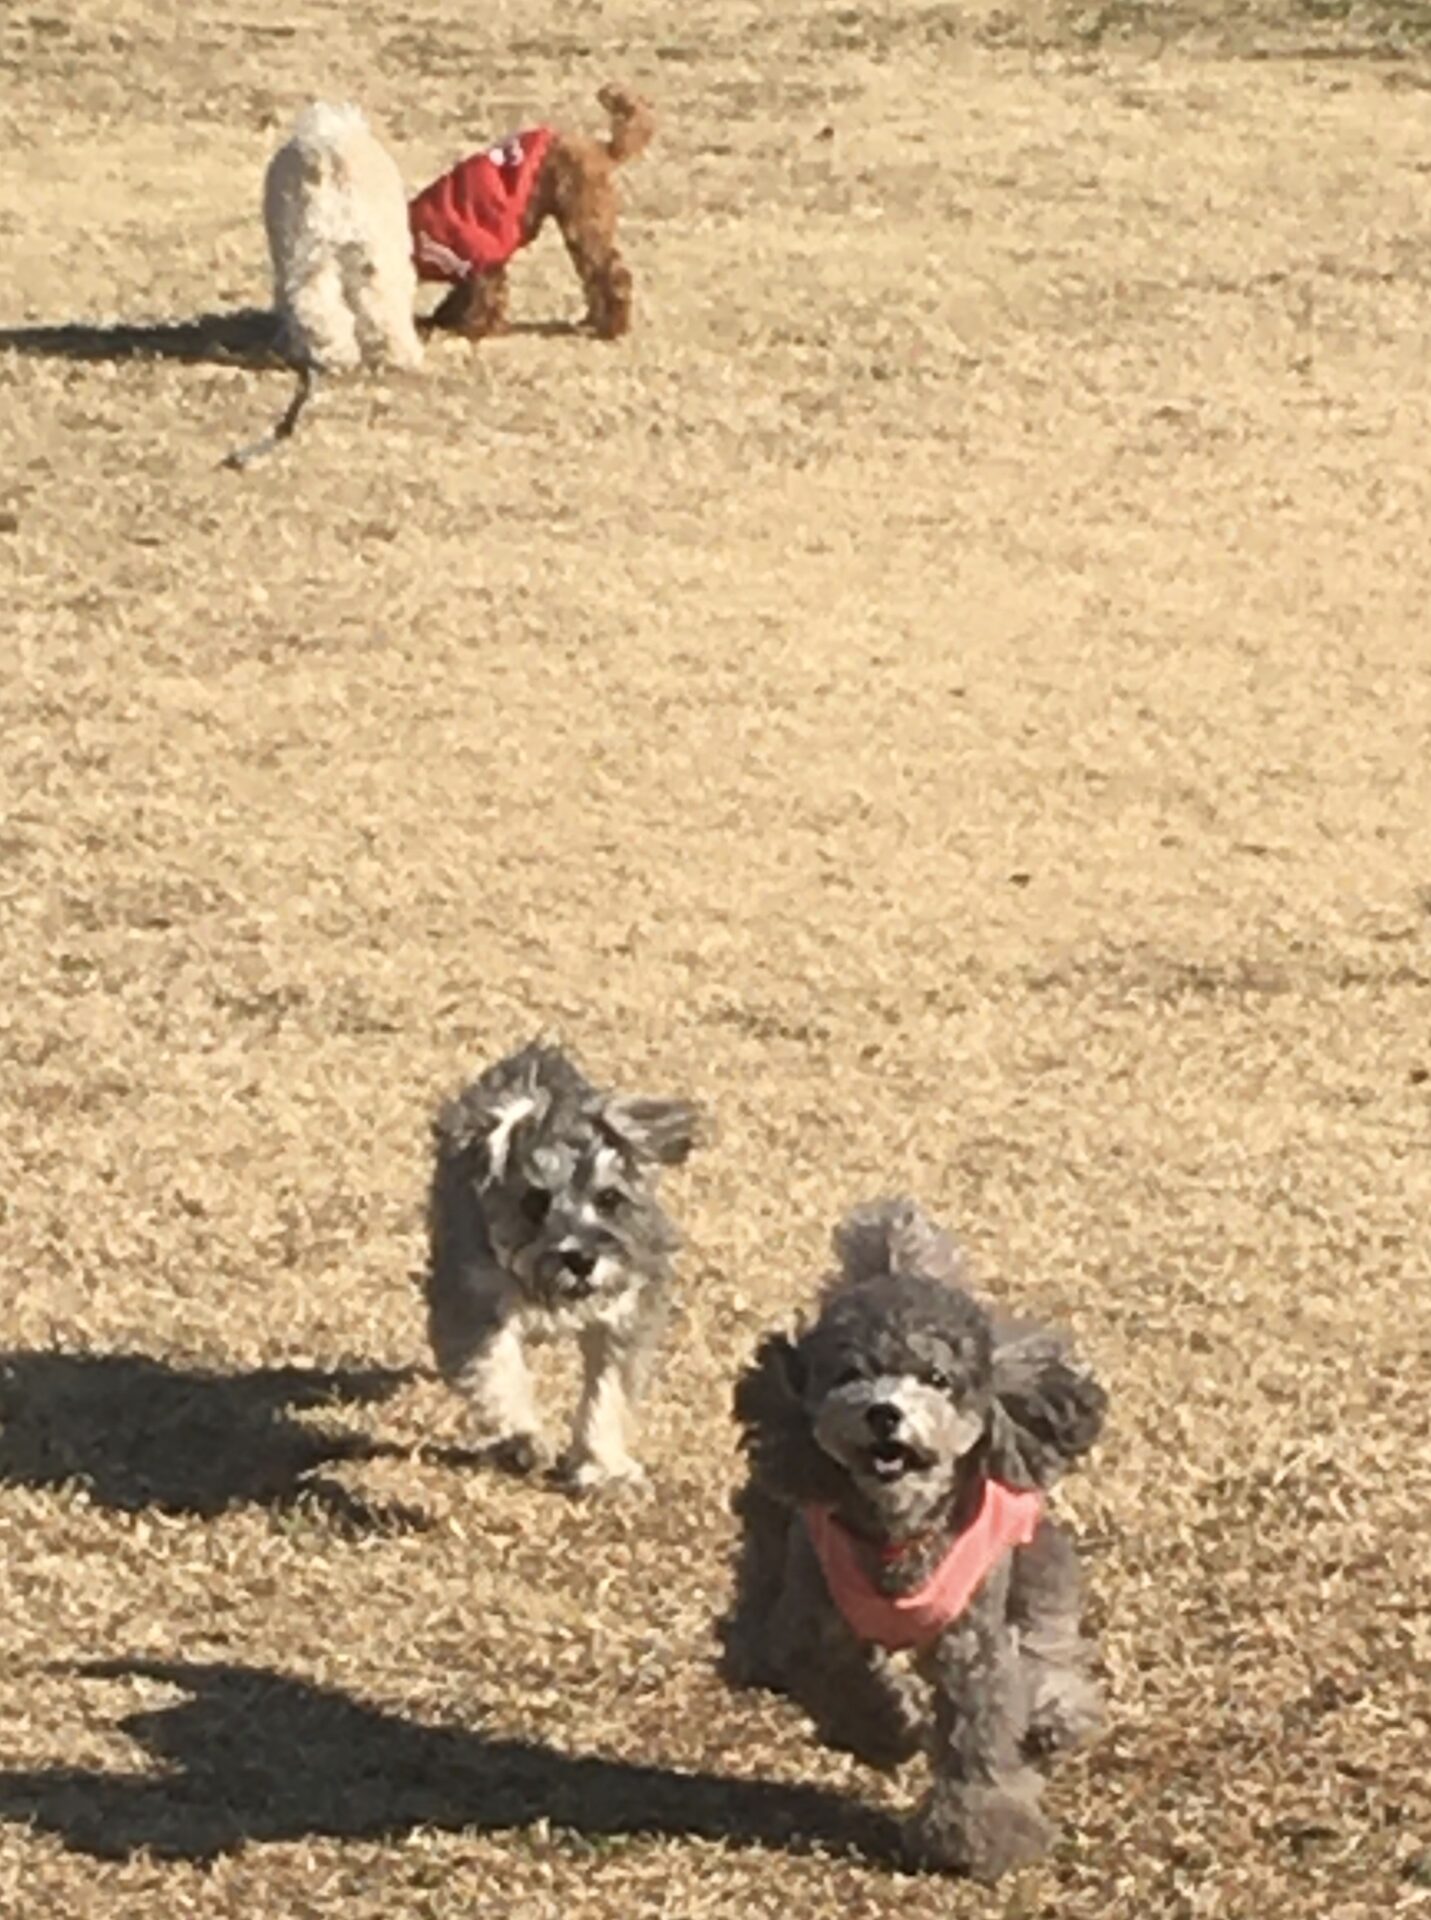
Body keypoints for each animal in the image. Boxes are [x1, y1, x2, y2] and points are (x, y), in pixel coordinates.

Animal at [225, 101, 422, 470]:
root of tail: (330, 151)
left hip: (307, 251)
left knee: (315, 303)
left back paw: (336, 355)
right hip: (366, 254)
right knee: (380, 306)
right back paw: (395, 355)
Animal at [409, 85, 654, 343]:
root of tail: (601, 148)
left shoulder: (482, 260)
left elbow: (485, 298)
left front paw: (474, 329)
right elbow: (459, 299)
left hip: (584, 224)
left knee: (614, 274)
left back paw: (612, 327)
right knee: (593, 277)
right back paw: (592, 321)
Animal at [424, 1041, 703, 1494]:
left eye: (609, 1198)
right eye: (534, 1202)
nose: (581, 1259)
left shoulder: (627, 1313)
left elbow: (608, 1391)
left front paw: (604, 1468)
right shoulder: (472, 1303)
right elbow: (496, 1372)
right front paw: (522, 1439)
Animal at [719, 1199, 1106, 1881]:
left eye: (937, 1378)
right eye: (850, 1375)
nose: (884, 1414)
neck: (897, 1535)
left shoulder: (972, 1640)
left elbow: (978, 1729)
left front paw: (979, 1835)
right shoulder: (812, 1619)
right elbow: (839, 1676)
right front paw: (891, 1727)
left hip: (1031, 1551)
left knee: (1046, 1634)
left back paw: (1054, 1712)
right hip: (772, 1524)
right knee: (758, 1598)